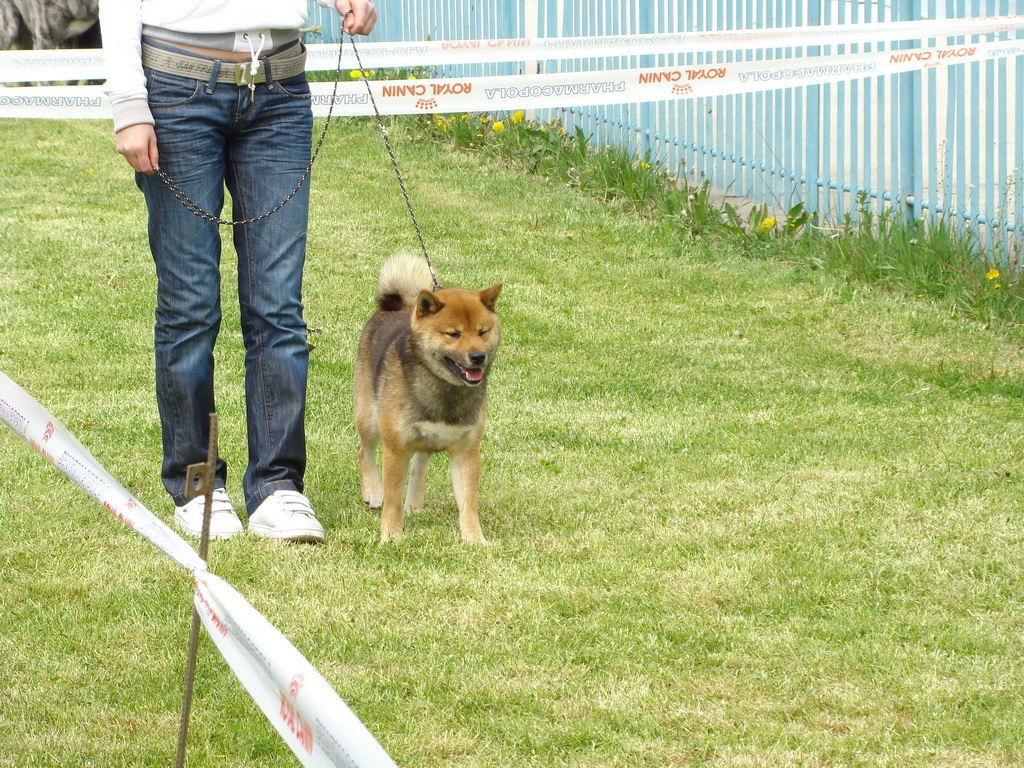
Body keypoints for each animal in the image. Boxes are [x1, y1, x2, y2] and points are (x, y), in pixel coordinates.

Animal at [356, 256, 503, 544]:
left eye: (482, 332)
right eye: (453, 334)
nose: (478, 357)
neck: (444, 390)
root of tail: (393, 307)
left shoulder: (467, 452)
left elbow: (469, 502)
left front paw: (475, 539)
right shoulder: (396, 448)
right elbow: (393, 499)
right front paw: (391, 535)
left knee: (420, 466)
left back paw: (414, 503)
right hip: (369, 418)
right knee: (363, 450)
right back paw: (373, 492)